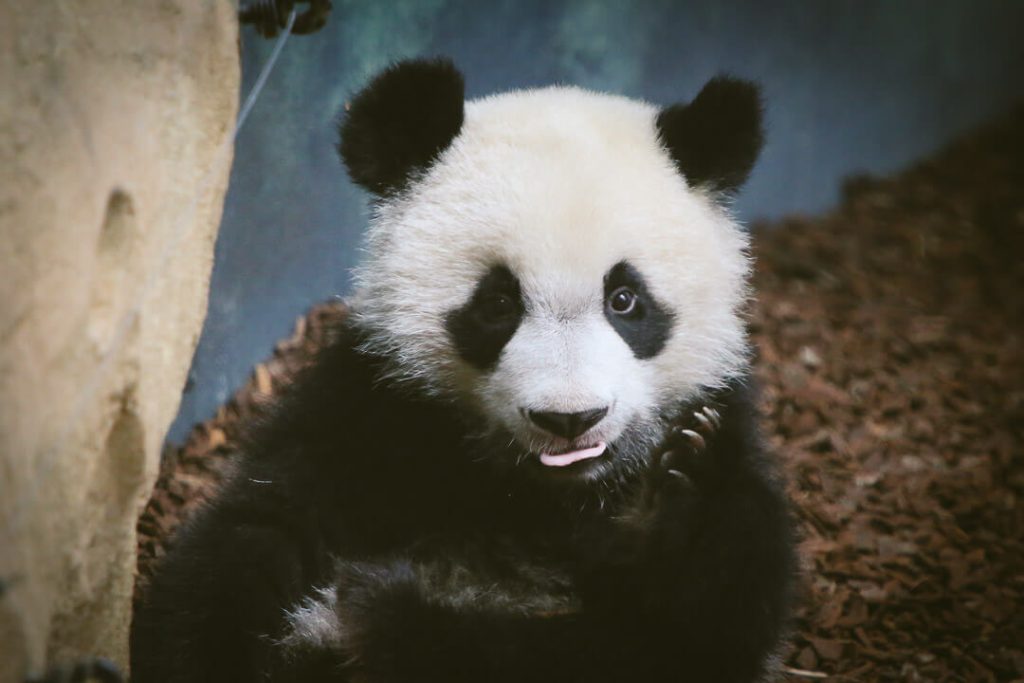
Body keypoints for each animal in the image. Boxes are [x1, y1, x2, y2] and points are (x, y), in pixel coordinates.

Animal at [130, 58, 796, 683]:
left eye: (625, 299)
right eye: (498, 303)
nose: (570, 419)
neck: (541, 494)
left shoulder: (719, 405)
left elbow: (693, 627)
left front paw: (687, 484)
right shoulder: (370, 403)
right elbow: (253, 537)